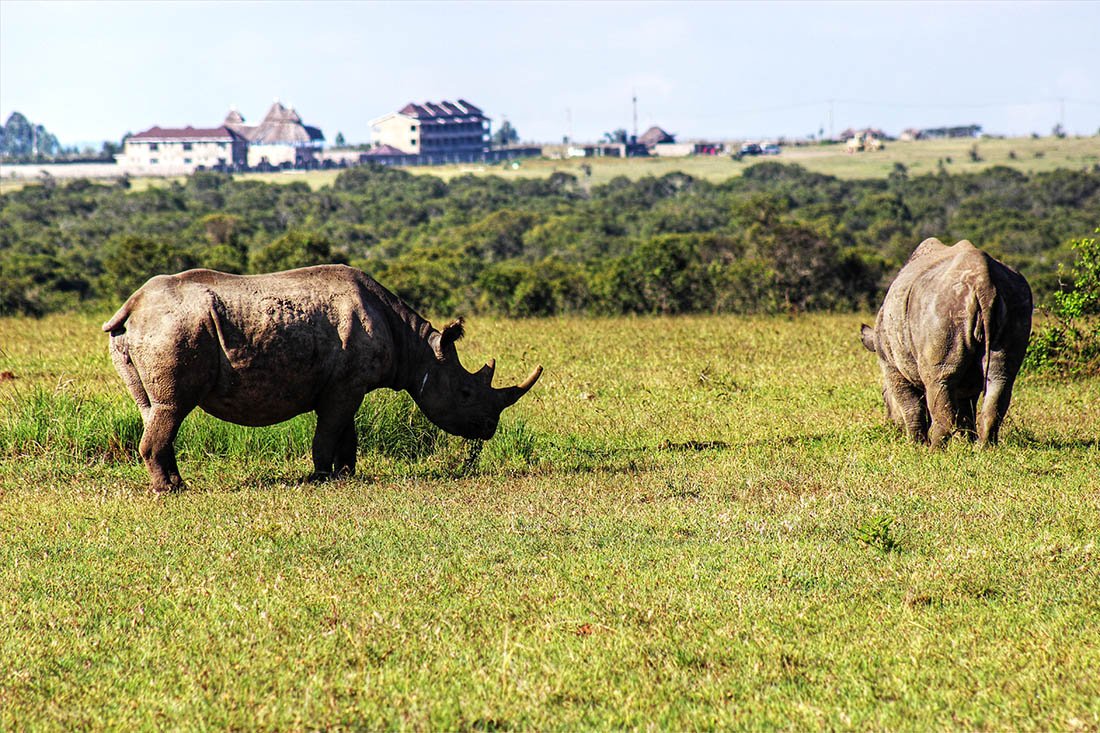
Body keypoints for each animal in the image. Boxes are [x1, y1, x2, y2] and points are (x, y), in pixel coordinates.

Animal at [103, 265, 543, 492]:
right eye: (467, 392)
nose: (488, 429)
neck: (417, 348)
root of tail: (132, 305)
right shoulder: (344, 386)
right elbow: (329, 431)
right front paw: (321, 477)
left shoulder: (348, 385)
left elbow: (347, 432)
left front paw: (347, 474)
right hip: (175, 328)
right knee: (172, 406)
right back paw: (173, 490)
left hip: (146, 333)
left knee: (151, 407)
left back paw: (174, 483)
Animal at [859, 238, 1032, 447]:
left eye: (884, 397)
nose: (890, 425)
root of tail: (984, 282)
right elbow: (966, 409)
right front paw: (966, 444)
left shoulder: (890, 364)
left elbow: (911, 406)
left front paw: (915, 445)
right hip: (1015, 300)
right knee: (1002, 377)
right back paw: (985, 448)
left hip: (941, 307)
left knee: (939, 379)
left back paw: (934, 450)